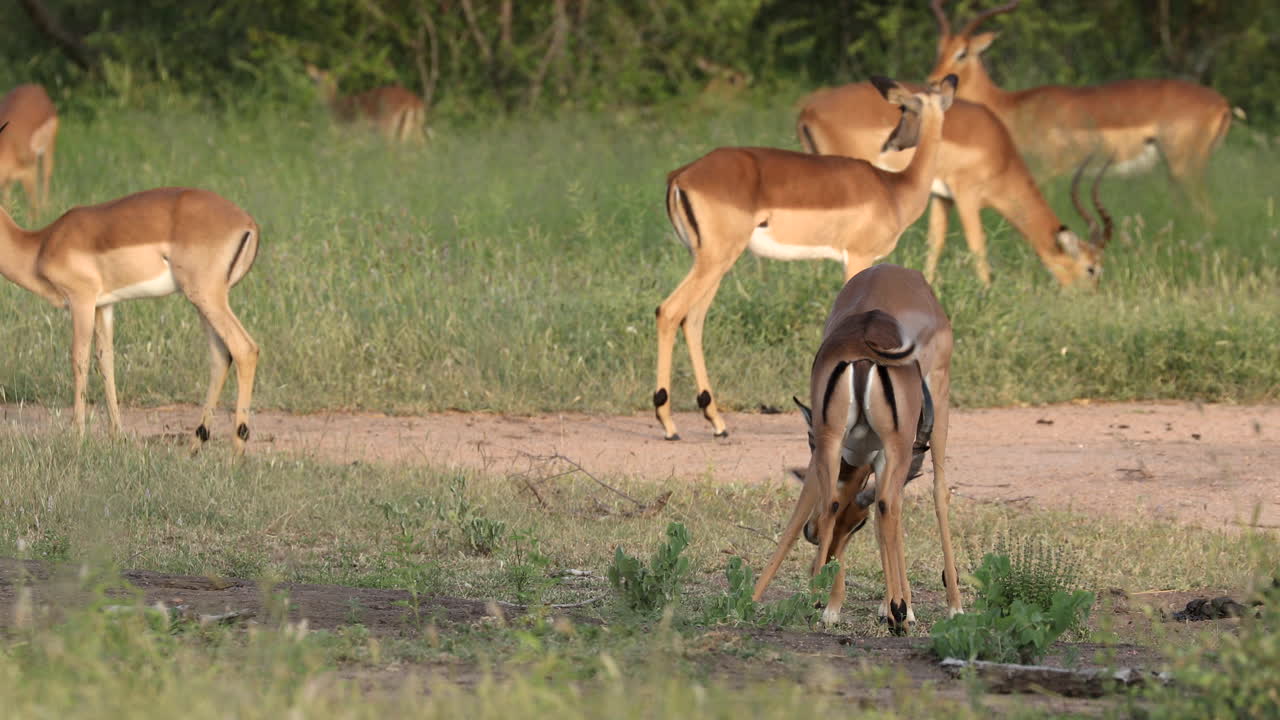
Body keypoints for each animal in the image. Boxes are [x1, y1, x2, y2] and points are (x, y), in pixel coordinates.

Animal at [0, 123, 261, 454]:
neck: (39, 246)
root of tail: (249, 223)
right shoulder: (105, 305)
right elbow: (106, 361)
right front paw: (117, 435)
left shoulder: (82, 301)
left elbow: (78, 358)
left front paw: (76, 437)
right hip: (203, 301)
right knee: (219, 356)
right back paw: (193, 446)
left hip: (207, 297)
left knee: (244, 349)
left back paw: (235, 453)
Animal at [654, 75, 957, 441]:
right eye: (902, 108)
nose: (893, 142)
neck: (894, 190)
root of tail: (680, 176)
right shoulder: (858, 257)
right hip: (714, 259)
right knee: (669, 311)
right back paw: (668, 423)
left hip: (713, 261)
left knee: (693, 319)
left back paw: (715, 421)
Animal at [752, 263, 959, 632]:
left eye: (857, 525)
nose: (816, 538)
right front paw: (898, 606)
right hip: (922, 418)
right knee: (920, 496)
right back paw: (926, 609)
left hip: (834, 438)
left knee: (853, 501)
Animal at [798, 82, 1112, 287]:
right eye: (1091, 269)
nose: (1090, 298)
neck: (999, 151)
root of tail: (808, 109)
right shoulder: (966, 195)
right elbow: (977, 244)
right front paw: (987, 290)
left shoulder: (942, 198)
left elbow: (935, 242)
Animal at [926, 0, 1231, 214]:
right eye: (940, 47)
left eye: (962, 52)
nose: (932, 81)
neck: (1014, 108)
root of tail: (1223, 104)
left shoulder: (1048, 168)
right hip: (1175, 172)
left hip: (1185, 169)